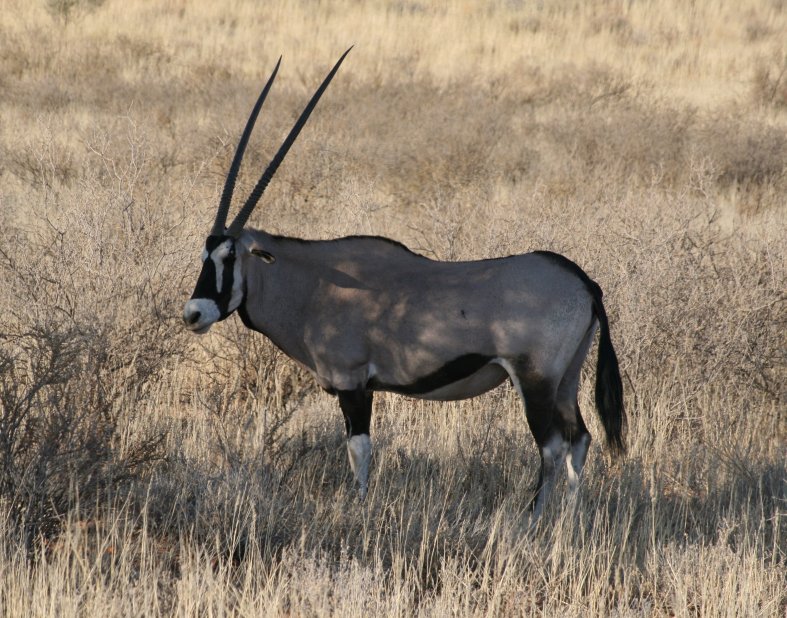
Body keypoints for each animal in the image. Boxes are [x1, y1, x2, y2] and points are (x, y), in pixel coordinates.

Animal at [182, 50, 624, 516]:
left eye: (230, 257)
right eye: (204, 256)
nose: (194, 313)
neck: (315, 284)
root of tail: (583, 283)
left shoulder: (353, 384)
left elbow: (359, 449)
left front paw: (359, 507)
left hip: (535, 379)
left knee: (552, 446)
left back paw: (533, 516)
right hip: (566, 378)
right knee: (580, 440)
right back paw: (570, 518)